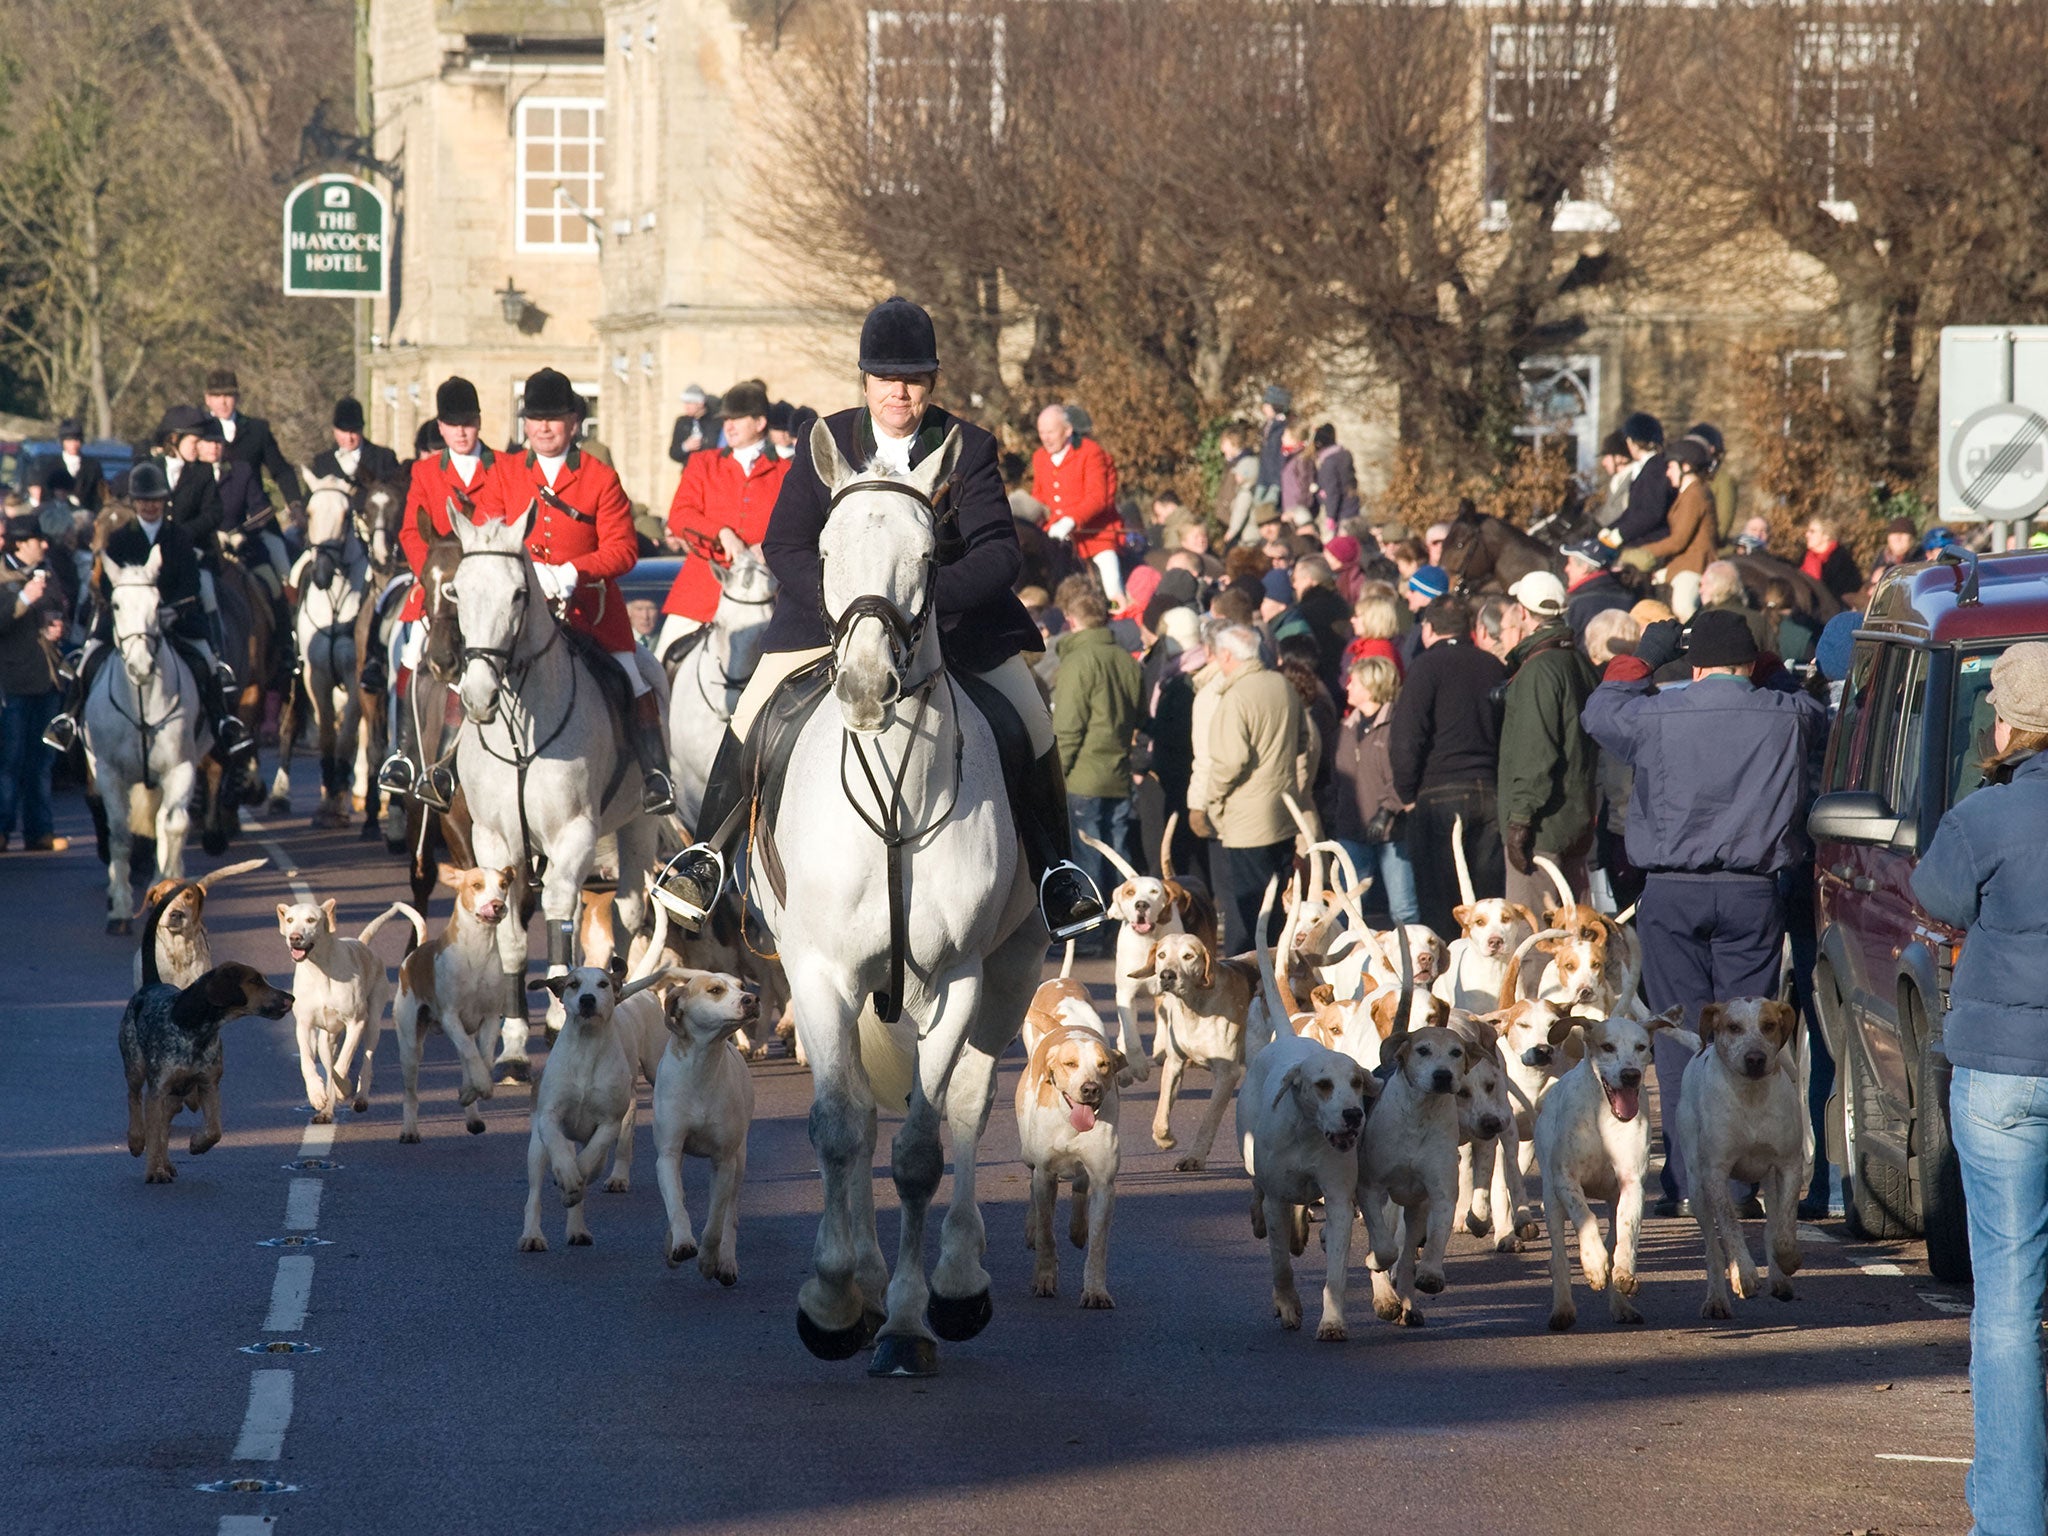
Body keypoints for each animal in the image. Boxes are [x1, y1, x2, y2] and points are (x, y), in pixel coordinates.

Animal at [86, 552, 207, 937]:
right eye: (116, 605)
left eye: (157, 604)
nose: (141, 665)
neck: (140, 697)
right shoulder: (109, 772)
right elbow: (121, 835)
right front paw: (121, 910)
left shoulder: (180, 767)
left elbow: (173, 827)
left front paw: (169, 889)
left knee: (163, 824)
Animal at [282, 479, 370, 831]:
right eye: (309, 512)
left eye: (347, 516)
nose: (321, 574)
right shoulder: (316, 676)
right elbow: (327, 736)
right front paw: (327, 803)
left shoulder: (354, 677)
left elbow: (346, 739)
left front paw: (339, 802)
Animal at [452, 505, 667, 1081]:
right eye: (458, 591)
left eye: (517, 594)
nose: (477, 697)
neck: (522, 728)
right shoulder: (495, 841)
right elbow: (509, 935)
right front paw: (512, 1044)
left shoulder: (575, 833)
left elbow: (559, 911)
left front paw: (554, 1014)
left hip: (637, 824)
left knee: (629, 910)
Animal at [761, 421, 1040, 1384]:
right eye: (823, 550)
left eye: (929, 553)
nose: (864, 687)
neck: (893, 797)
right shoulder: (820, 975)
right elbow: (841, 1130)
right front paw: (832, 1298)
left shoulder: (955, 979)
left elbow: (920, 1150)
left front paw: (910, 1321)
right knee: (845, 1119)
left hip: (1010, 971)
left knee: (966, 1108)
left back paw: (954, 1281)